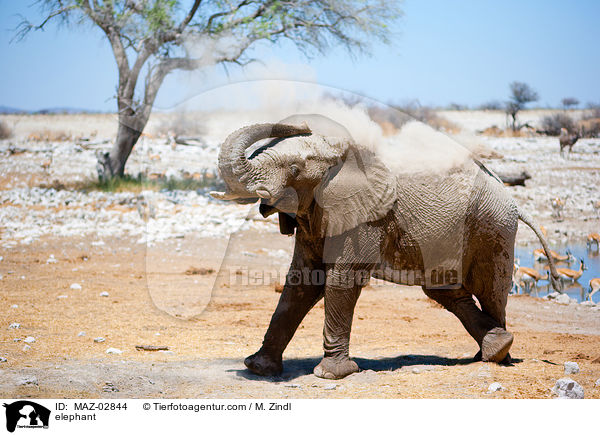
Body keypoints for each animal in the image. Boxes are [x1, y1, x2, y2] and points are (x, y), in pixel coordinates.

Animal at [211, 114, 564, 380]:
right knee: (445, 292)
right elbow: (301, 281)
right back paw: (491, 349)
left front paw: (331, 375)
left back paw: (498, 357)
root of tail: (512, 198)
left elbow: (341, 280)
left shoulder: (366, 218)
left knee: (490, 290)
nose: (302, 123)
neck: (342, 158)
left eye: (295, 170)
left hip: (493, 227)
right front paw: (258, 368)